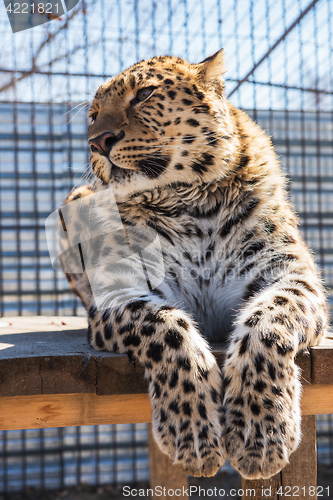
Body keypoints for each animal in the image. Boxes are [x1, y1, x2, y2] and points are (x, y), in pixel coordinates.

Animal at [59, 50, 326, 480]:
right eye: (93, 114)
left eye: (144, 95)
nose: (97, 141)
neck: (191, 204)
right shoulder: (120, 290)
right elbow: (166, 326)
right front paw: (194, 436)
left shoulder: (290, 276)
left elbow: (267, 324)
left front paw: (261, 433)